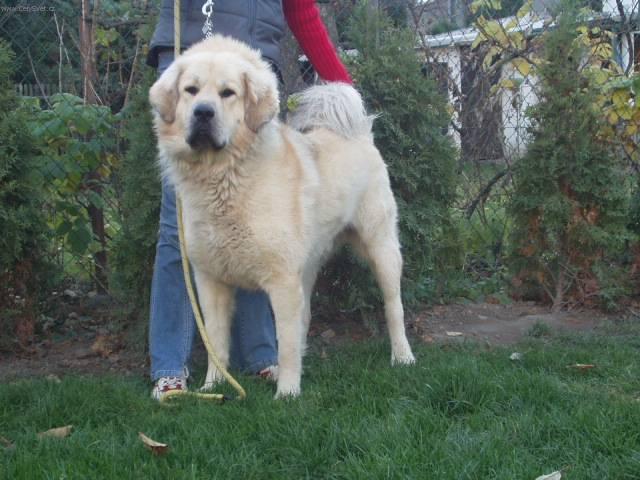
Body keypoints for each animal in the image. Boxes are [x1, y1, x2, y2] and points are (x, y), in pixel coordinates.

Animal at [149, 35, 416, 398]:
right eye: (191, 90)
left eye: (228, 93)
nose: (203, 112)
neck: (225, 178)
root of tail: (360, 132)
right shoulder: (211, 282)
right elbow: (216, 343)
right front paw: (213, 387)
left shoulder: (281, 280)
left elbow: (284, 343)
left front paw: (287, 393)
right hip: (309, 265)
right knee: (306, 318)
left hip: (382, 249)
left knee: (394, 307)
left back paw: (402, 356)